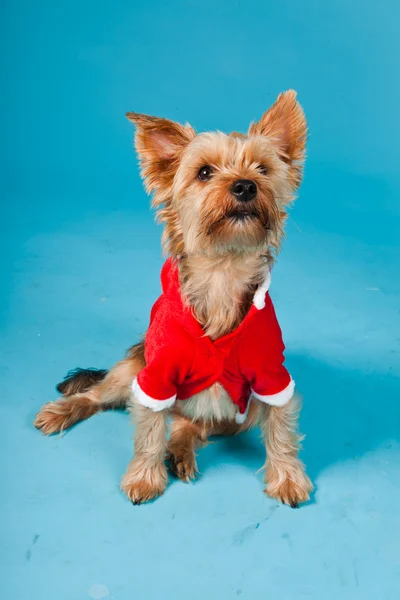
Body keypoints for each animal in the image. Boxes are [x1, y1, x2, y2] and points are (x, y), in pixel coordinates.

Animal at [35, 90, 312, 506]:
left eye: (263, 169)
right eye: (204, 173)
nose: (245, 186)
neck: (222, 271)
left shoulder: (270, 376)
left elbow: (281, 426)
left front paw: (288, 477)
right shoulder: (156, 375)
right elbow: (149, 428)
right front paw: (144, 477)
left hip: (236, 416)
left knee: (189, 422)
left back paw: (180, 450)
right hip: (134, 366)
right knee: (100, 395)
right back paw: (62, 411)